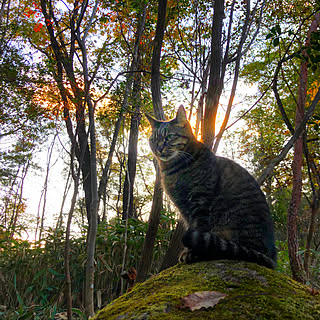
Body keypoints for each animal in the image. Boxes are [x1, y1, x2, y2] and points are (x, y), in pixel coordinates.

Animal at [146, 106, 276, 268]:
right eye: (154, 139)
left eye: (169, 136)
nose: (158, 148)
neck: (172, 169)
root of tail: (271, 258)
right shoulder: (184, 209)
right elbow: (193, 227)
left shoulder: (200, 201)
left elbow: (199, 227)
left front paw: (192, 253)